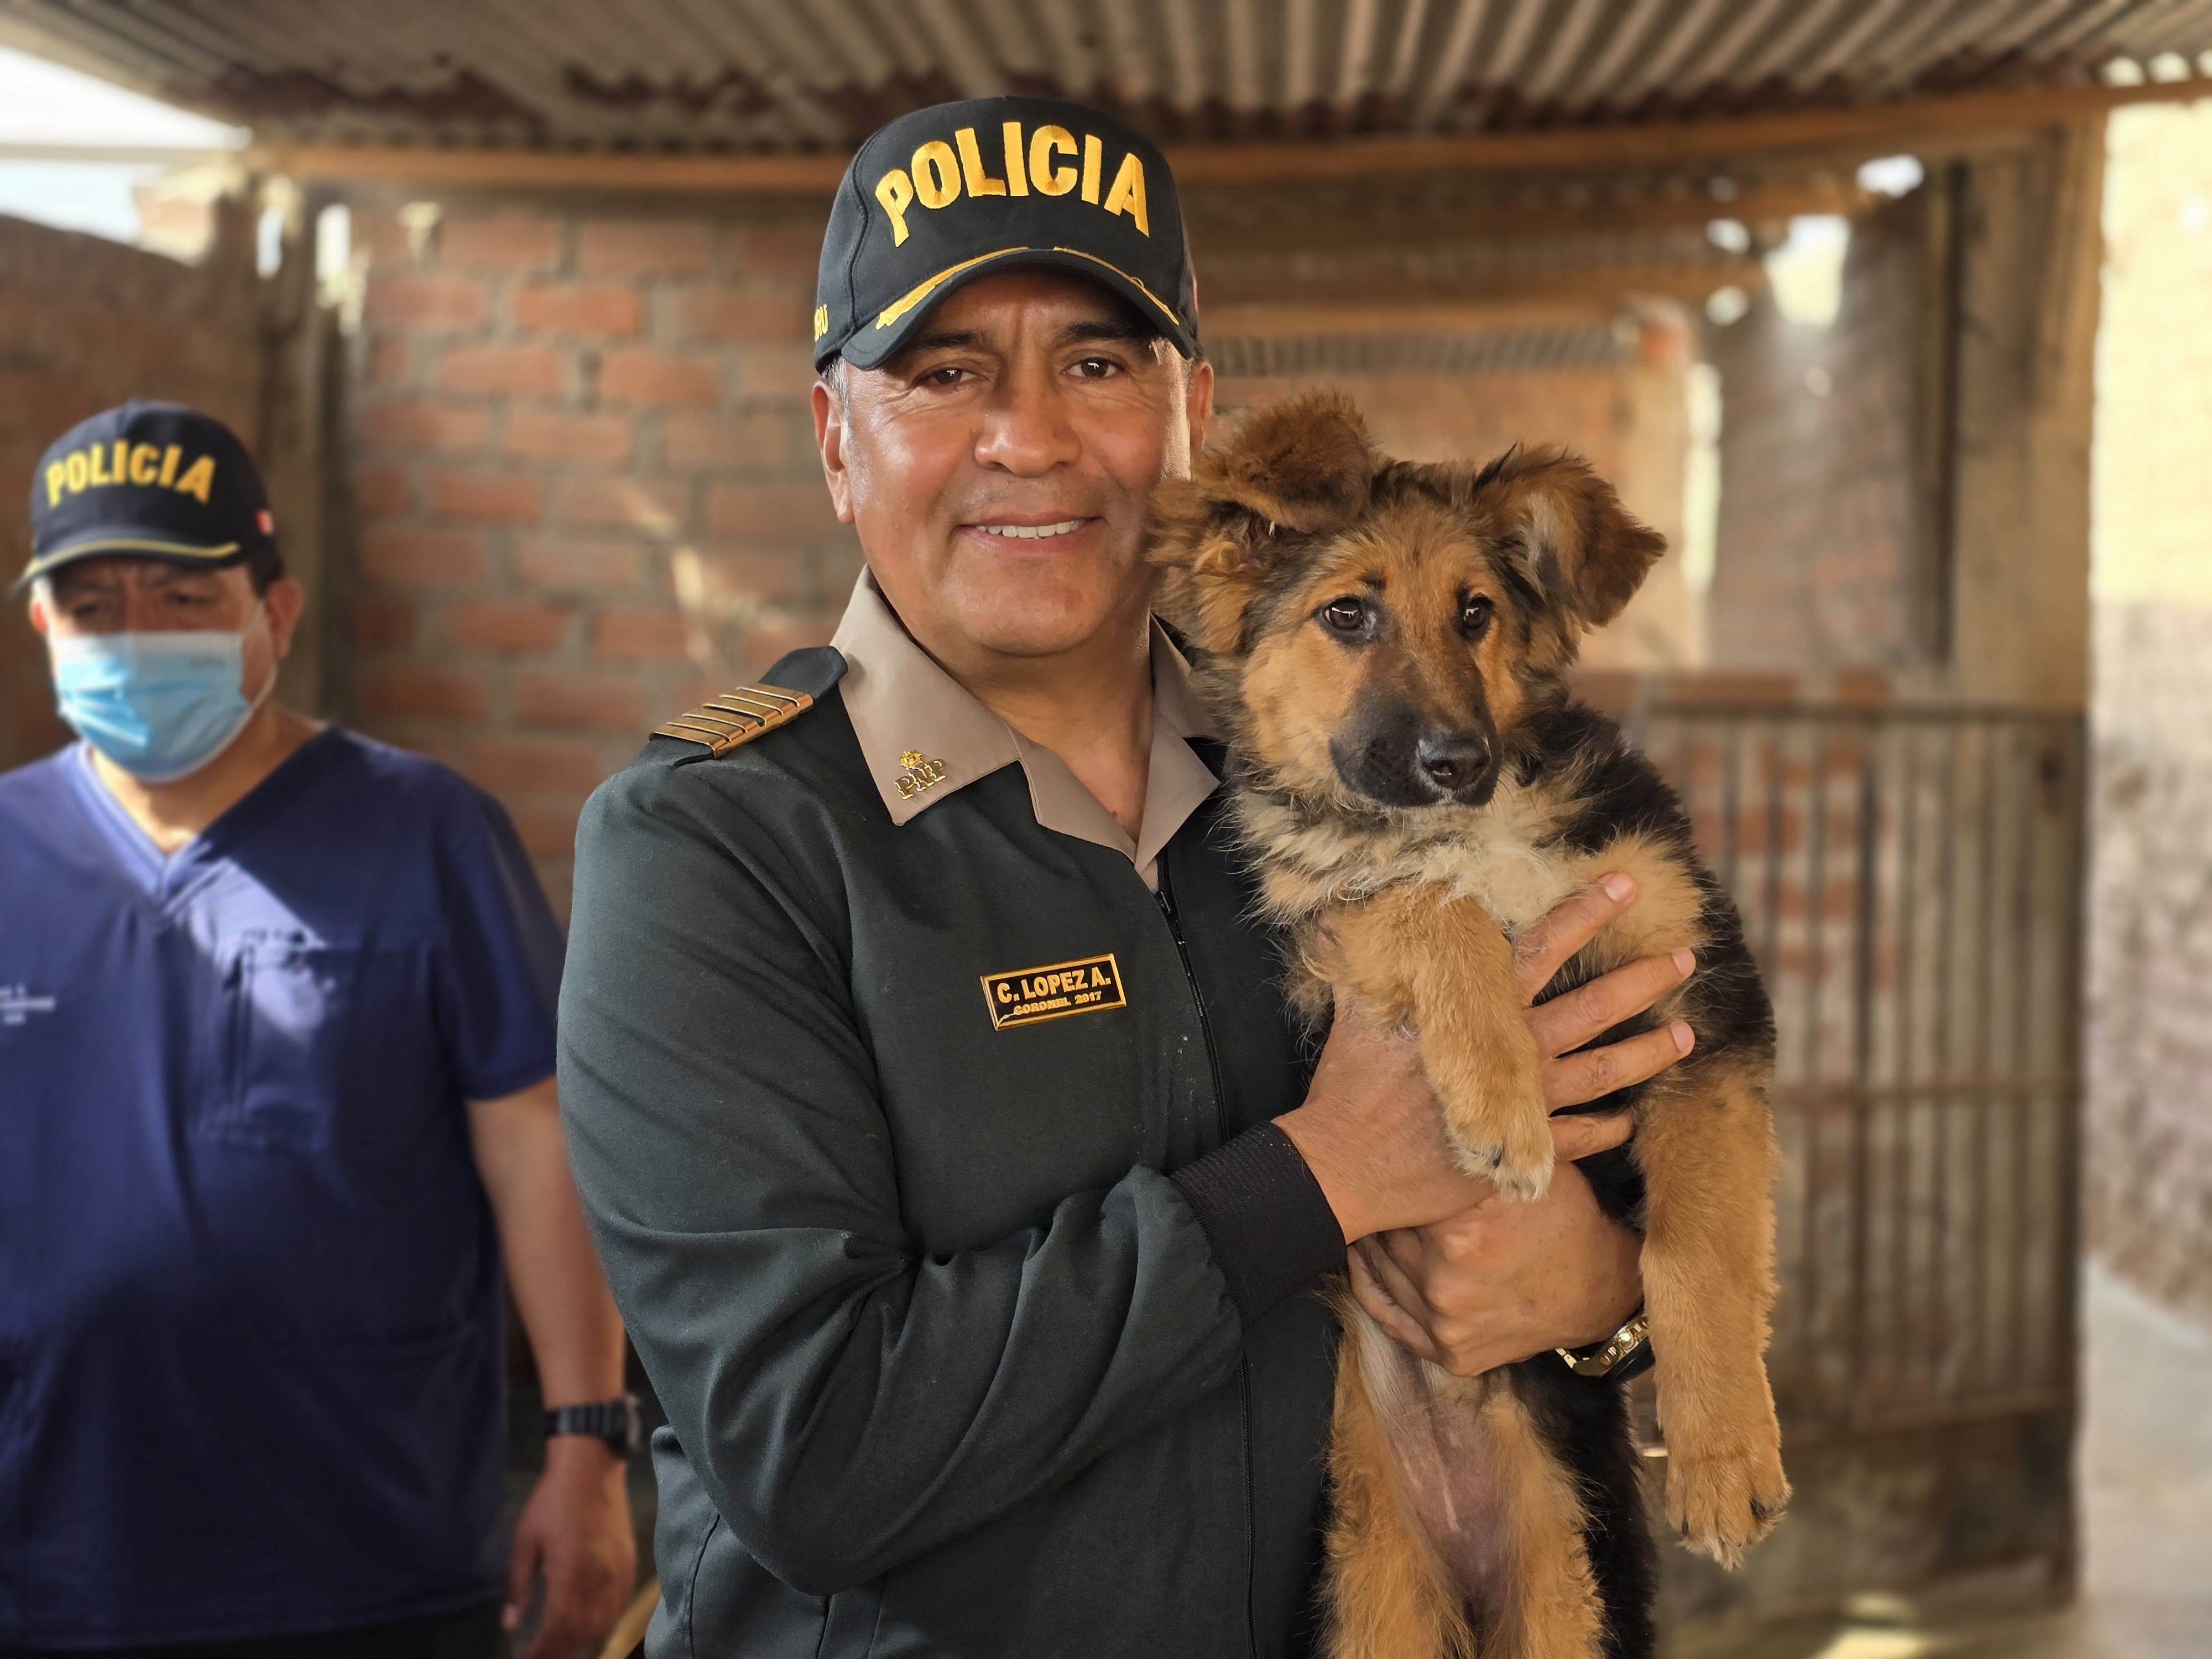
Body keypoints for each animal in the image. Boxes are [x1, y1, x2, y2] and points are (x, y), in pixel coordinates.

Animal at [1150, 394, 1787, 1659]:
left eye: (1476, 613)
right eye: (1346, 613)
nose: (1458, 761)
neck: (1471, 826)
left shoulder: (1699, 1004)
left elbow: (1699, 1238)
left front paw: (1725, 1453)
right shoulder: (1314, 938)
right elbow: (1422, 902)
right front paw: (1501, 1097)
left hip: (1571, 1583)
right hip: (1368, 1592)